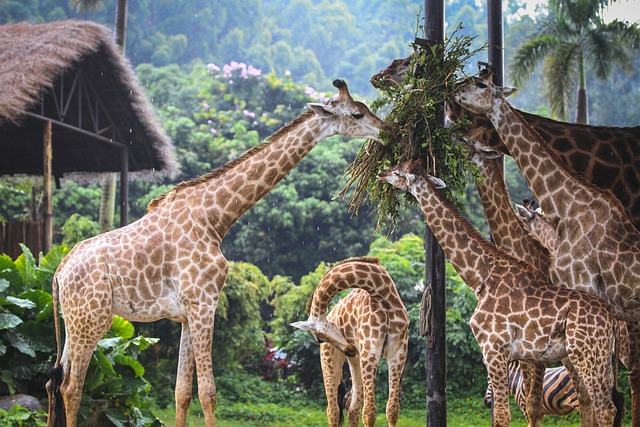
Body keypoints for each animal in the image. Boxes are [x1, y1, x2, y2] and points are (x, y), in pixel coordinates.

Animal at [45, 80, 390, 427]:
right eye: (357, 113)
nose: (386, 130)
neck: (215, 218)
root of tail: (58, 273)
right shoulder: (204, 304)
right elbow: (208, 393)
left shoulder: (186, 314)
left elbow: (182, 392)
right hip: (93, 319)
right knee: (72, 387)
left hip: (74, 321)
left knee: (54, 381)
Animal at [288, 258, 404, 427]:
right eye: (319, 340)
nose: (350, 349)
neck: (381, 291)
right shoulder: (370, 351)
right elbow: (369, 412)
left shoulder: (398, 351)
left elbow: (392, 409)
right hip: (330, 360)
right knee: (333, 410)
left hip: (357, 362)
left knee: (352, 407)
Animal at [380, 159, 620, 426]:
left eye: (398, 172)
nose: (381, 173)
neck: (480, 277)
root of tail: (611, 321)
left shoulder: (493, 347)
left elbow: (503, 415)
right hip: (600, 359)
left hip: (586, 355)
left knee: (604, 408)